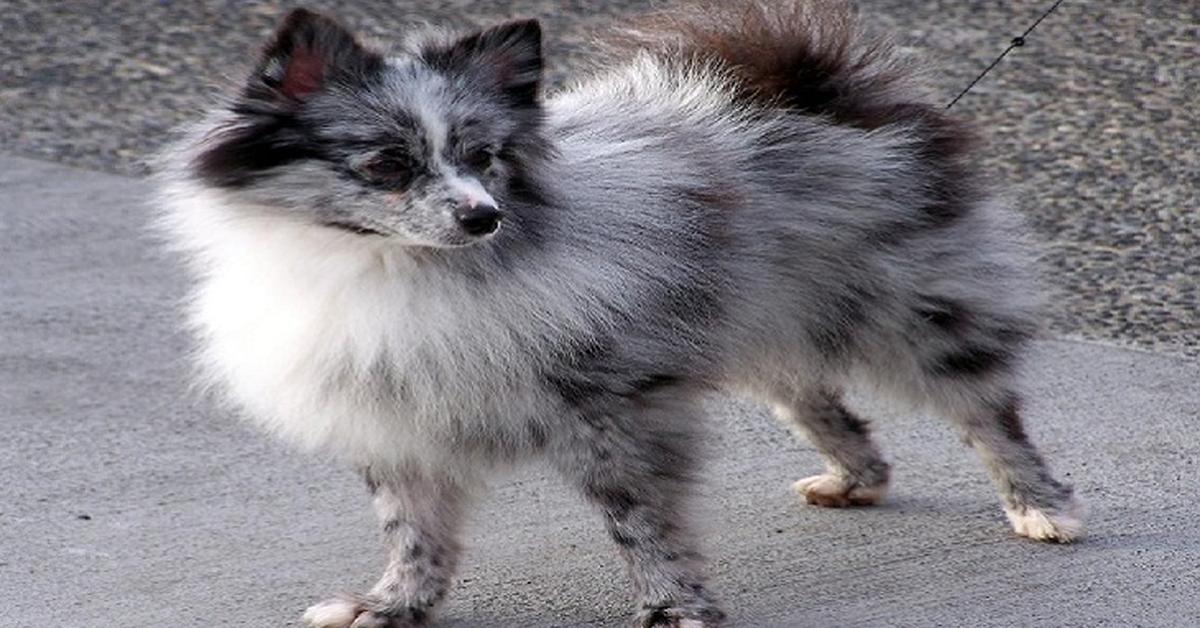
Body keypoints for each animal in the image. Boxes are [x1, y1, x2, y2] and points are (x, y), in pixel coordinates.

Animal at [159, 2, 1089, 624]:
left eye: (483, 158)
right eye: (388, 164)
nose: (482, 217)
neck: (405, 274)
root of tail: (813, 82)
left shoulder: (611, 410)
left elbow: (639, 520)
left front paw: (674, 607)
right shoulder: (396, 419)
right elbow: (414, 531)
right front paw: (392, 606)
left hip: (913, 314)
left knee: (987, 410)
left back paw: (1042, 506)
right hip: (758, 323)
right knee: (820, 401)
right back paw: (855, 477)